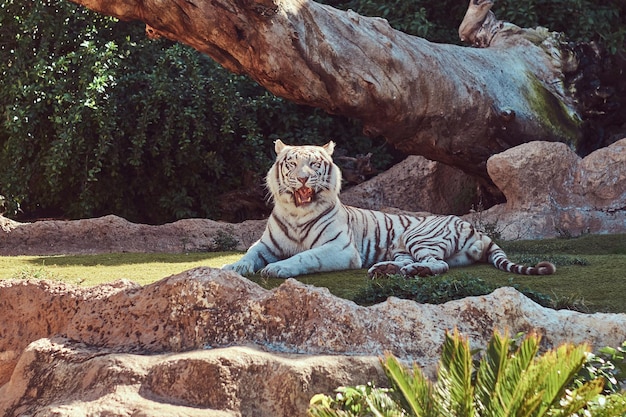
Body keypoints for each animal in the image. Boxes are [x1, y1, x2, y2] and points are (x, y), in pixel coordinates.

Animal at [222, 141, 552, 280]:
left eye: (314, 164)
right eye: (292, 163)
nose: (303, 178)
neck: (296, 213)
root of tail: (476, 229)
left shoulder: (339, 249)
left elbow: (306, 256)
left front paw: (277, 269)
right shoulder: (266, 244)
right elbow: (248, 254)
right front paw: (232, 268)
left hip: (421, 237)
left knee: (438, 265)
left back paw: (410, 271)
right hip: (406, 248)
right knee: (421, 263)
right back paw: (388, 269)